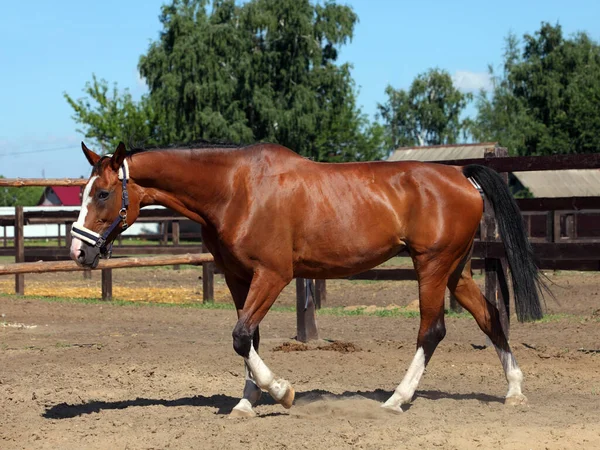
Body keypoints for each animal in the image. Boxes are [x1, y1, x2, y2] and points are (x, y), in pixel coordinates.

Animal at [68, 142, 548, 416]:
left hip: (431, 265)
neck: (234, 189)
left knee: (432, 330)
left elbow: (241, 336)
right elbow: (249, 337)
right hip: (455, 271)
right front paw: (247, 402)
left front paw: (282, 392)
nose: (78, 251)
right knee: (490, 317)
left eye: (103, 193)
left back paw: (397, 400)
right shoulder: (239, 277)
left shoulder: (274, 275)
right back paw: (514, 392)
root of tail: (461, 175)